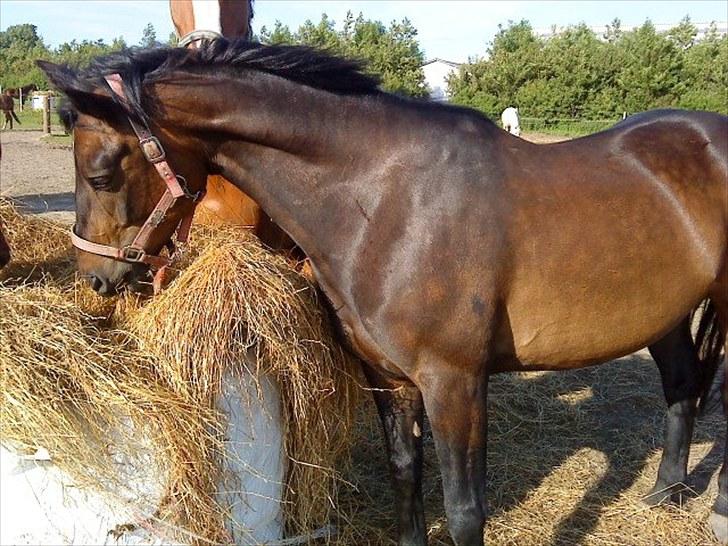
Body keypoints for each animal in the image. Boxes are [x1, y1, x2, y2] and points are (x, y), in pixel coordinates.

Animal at [38, 42, 728, 544]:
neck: (387, 200)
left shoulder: (455, 382)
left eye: (102, 174)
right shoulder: (388, 378)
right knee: (680, 386)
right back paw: (664, 497)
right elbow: (405, 481)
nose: (94, 277)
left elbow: (463, 509)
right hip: (662, 315)